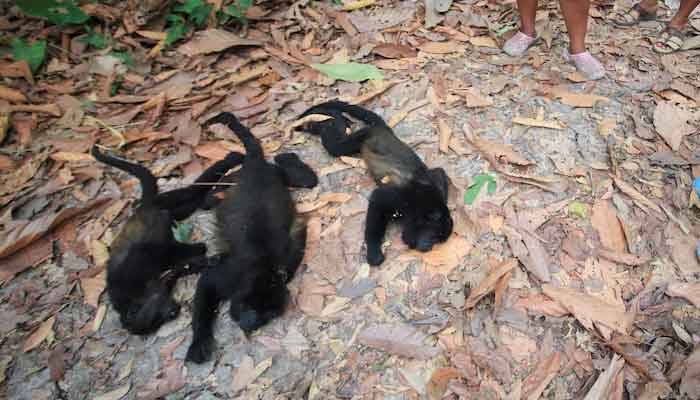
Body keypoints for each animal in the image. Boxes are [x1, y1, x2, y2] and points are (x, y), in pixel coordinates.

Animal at [90, 145, 245, 336]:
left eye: (155, 316)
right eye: (158, 321)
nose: (173, 311)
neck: (135, 295)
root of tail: (141, 208)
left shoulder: (139, 262)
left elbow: (163, 249)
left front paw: (201, 249)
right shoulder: (161, 281)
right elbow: (179, 269)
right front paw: (208, 261)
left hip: (164, 202)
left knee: (190, 191)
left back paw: (230, 161)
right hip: (174, 208)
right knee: (191, 202)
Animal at [186, 111, 318, 364]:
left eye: (269, 314)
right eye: (249, 307)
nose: (251, 324)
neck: (262, 269)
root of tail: (256, 165)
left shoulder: (285, 260)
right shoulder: (231, 274)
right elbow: (206, 283)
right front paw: (199, 341)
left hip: (276, 175)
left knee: (305, 180)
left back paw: (287, 157)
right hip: (238, 177)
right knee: (210, 198)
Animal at [296, 101, 454, 266]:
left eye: (438, 241)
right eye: (434, 236)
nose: (428, 247)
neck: (424, 205)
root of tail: (383, 130)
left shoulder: (433, 183)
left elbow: (439, 172)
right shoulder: (402, 197)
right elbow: (377, 200)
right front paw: (374, 252)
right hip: (363, 135)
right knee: (336, 146)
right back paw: (324, 123)